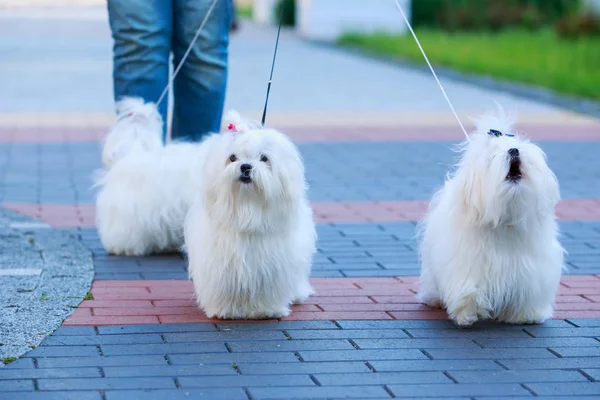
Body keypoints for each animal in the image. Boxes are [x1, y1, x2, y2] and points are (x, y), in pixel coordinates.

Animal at [414, 108, 564, 324]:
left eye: (517, 148)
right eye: (492, 157)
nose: (513, 151)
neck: (506, 219)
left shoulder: (532, 270)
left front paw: (526, 315)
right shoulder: (467, 263)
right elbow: (469, 288)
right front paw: (467, 313)